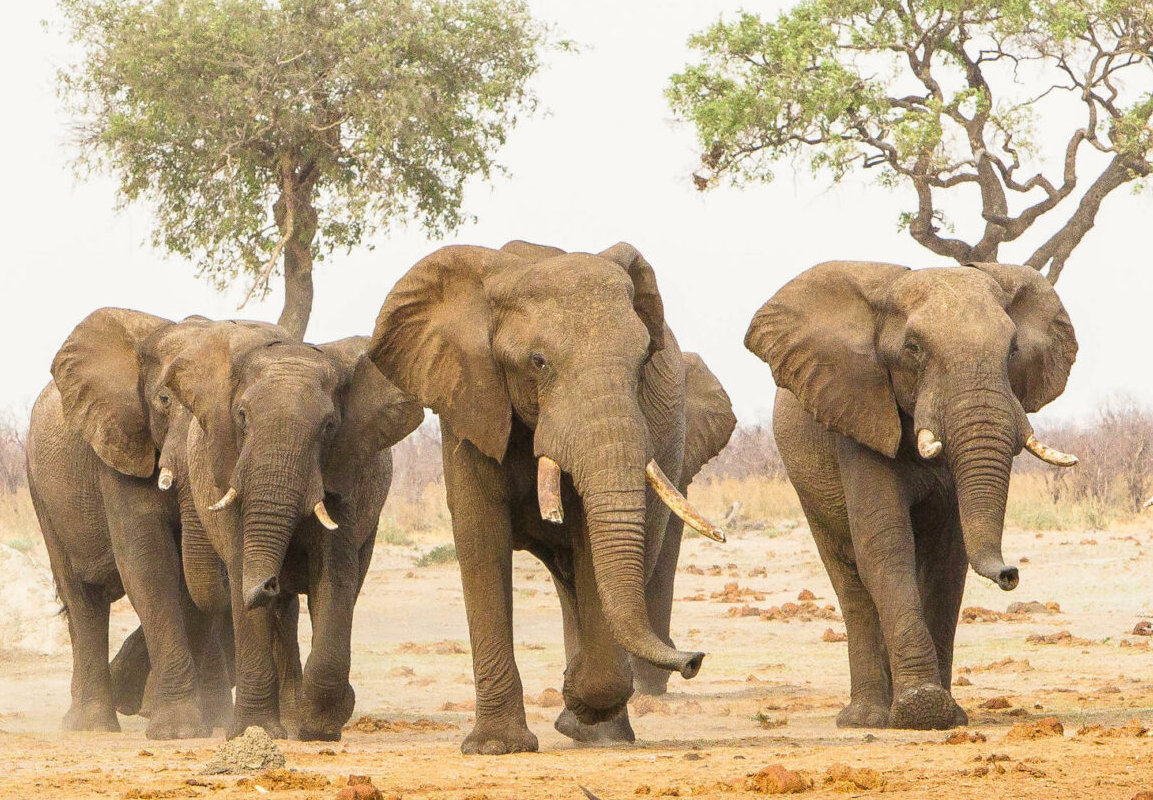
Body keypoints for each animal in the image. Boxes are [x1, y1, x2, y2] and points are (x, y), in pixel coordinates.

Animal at [27, 306, 231, 737]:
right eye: (165, 400)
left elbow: (186, 582)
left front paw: (191, 726)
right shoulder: (118, 444)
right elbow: (148, 565)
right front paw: (178, 731)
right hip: (42, 494)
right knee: (83, 597)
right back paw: (91, 725)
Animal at [167, 322, 424, 742]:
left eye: (329, 427)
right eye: (242, 416)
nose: (271, 581)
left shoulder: (345, 476)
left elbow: (334, 579)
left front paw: (319, 728)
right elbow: (245, 580)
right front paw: (255, 731)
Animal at [364, 240, 733, 756]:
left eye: (643, 360)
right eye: (538, 362)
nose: (695, 659)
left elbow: (590, 544)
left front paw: (577, 699)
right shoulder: (469, 400)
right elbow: (479, 534)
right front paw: (496, 747)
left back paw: (597, 731)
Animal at [747, 261, 1079, 733]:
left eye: (1013, 349)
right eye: (914, 348)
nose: (1010, 574)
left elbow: (947, 557)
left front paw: (944, 714)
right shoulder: (858, 415)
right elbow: (885, 546)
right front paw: (923, 709)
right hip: (807, 487)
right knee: (850, 580)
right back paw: (867, 718)